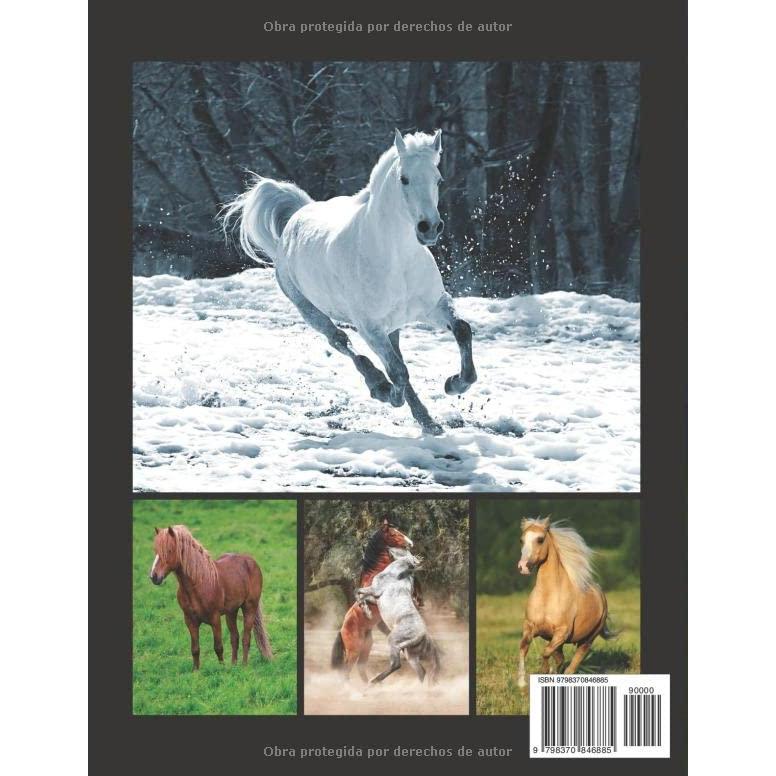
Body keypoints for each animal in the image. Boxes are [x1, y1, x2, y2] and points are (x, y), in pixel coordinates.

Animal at [149, 524, 273, 670]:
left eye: (169, 550)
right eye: (155, 550)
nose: (154, 577)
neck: (197, 584)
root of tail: (251, 561)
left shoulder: (215, 619)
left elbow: (218, 647)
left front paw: (221, 668)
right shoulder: (190, 621)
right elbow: (195, 649)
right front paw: (196, 671)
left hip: (249, 608)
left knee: (245, 638)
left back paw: (243, 665)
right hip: (231, 612)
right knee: (234, 637)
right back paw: (234, 665)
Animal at [221, 129, 477, 436]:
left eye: (438, 179)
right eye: (404, 178)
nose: (430, 228)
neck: (397, 259)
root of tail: (298, 216)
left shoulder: (433, 307)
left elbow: (461, 330)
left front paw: (454, 384)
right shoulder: (369, 327)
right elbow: (397, 372)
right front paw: (387, 393)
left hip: (391, 324)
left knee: (392, 354)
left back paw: (427, 420)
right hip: (310, 311)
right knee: (340, 342)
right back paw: (379, 386)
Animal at [330, 518, 418, 681]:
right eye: (394, 534)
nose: (410, 543)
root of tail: (342, 630)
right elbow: (360, 595)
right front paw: (367, 610)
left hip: (366, 647)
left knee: (361, 668)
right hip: (353, 651)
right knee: (346, 672)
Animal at [356, 548, 441, 684]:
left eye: (404, 550)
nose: (389, 549)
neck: (395, 575)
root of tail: (422, 634)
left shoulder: (374, 590)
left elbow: (358, 591)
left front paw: (367, 612)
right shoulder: (375, 598)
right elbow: (361, 596)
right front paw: (366, 610)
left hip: (393, 641)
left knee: (396, 664)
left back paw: (374, 681)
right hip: (410, 654)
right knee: (421, 672)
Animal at [515, 517, 615, 687]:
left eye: (540, 539)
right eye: (522, 540)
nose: (523, 567)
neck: (548, 596)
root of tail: (600, 594)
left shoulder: (561, 633)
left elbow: (545, 652)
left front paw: (544, 671)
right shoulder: (530, 627)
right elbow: (524, 647)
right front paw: (521, 683)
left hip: (587, 640)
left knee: (572, 665)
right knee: (560, 659)